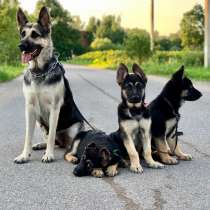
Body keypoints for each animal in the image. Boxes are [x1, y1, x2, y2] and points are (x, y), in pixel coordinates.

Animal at [14, 6, 86, 163]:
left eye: (35, 35)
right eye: (22, 34)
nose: (20, 46)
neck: (39, 71)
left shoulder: (54, 108)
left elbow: (52, 134)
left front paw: (49, 155)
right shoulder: (30, 108)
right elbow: (28, 136)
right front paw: (24, 155)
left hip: (75, 128)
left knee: (67, 144)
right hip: (39, 122)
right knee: (53, 141)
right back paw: (41, 145)